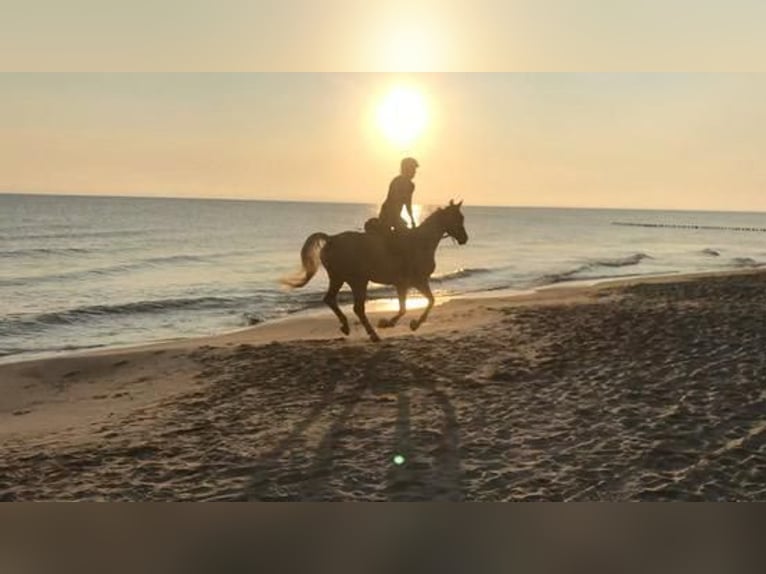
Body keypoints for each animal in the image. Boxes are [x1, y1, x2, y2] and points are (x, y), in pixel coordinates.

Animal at [286, 201, 472, 342]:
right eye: (458, 218)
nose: (464, 238)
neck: (421, 243)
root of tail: (331, 239)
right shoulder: (415, 282)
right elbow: (421, 304)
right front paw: (390, 323)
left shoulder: (407, 284)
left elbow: (418, 304)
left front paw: (409, 324)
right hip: (357, 280)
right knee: (357, 308)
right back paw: (372, 334)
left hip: (339, 278)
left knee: (331, 300)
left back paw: (346, 327)